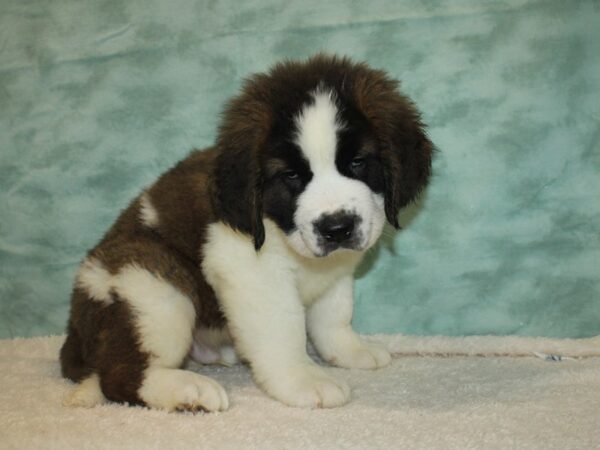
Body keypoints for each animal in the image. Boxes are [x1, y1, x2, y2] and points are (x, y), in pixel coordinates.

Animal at [59, 53, 432, 412]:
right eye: (291, 176)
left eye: (357, 162)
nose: (337, 228)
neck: (281, 232)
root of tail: (74, 330)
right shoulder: (249, 271)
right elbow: (283, 330)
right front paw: (304, 380)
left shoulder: (335, 272)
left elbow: (334, 316)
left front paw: (350, 350)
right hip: (149, 280)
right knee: (119, 375)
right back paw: (188, 391)